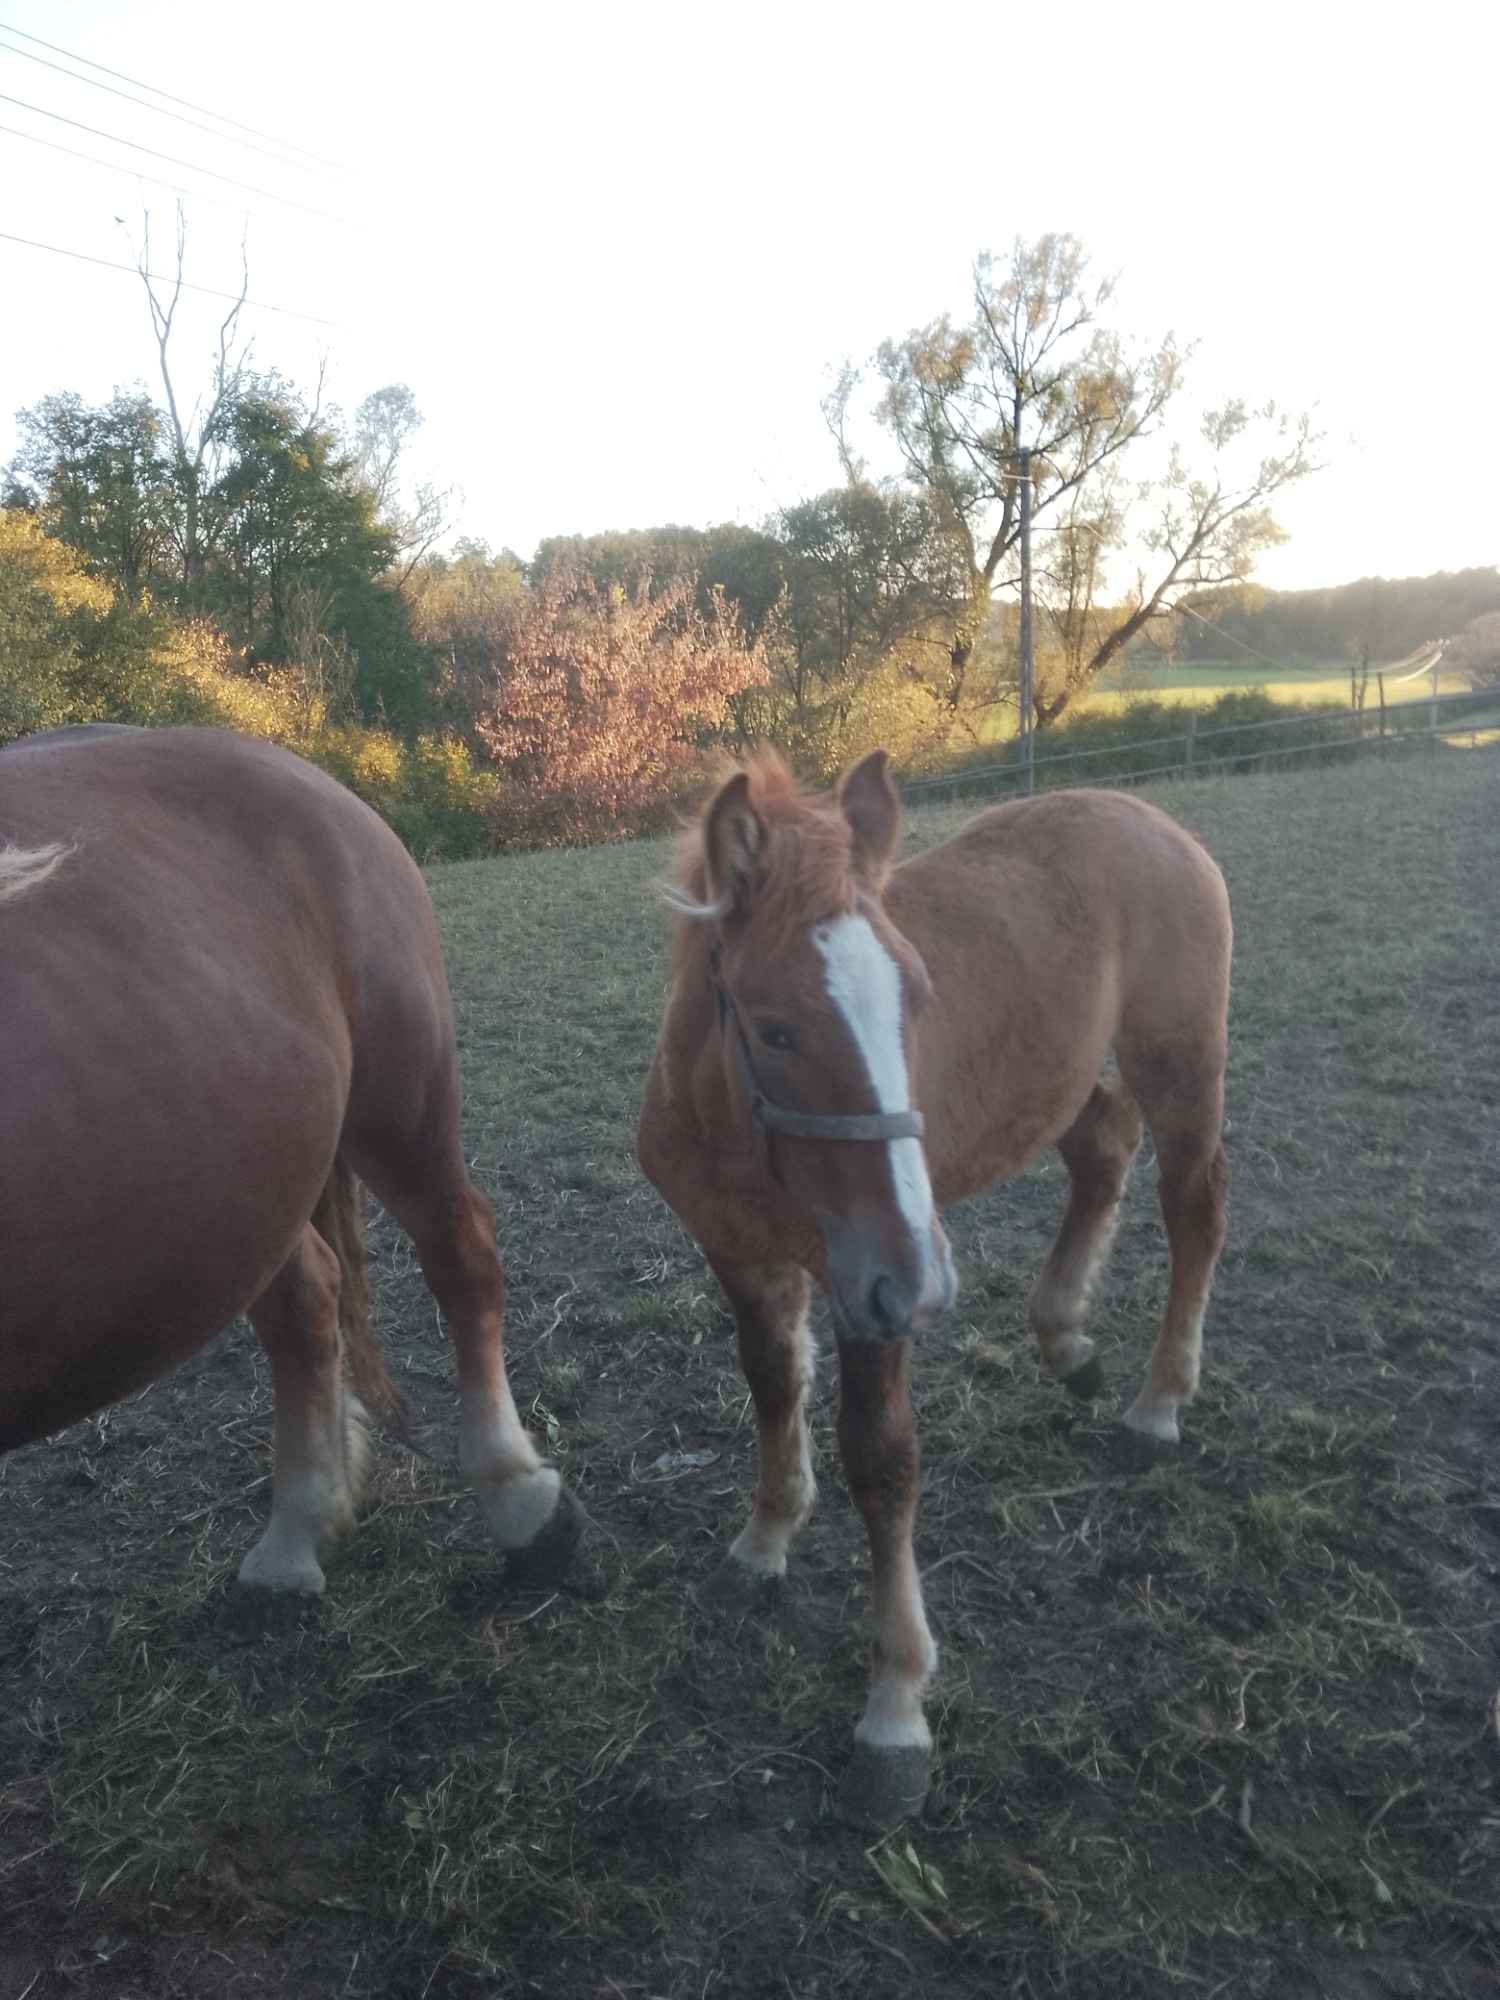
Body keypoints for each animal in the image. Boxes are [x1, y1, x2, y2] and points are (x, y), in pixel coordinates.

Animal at [1, 724, 580, 1592]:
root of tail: (306, 775)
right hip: (255, 1187)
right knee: (306, 1302)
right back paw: (296, 1535)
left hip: (399, 1106)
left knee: (460, 1254)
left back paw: (516, 1497)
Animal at [636, 752, 1232, 1832]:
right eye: (774, 1030)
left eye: (917, 998)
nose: (924, 1281)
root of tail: (1146, 813)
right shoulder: (742, 1254)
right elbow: (771, 1383)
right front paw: (766, 1537)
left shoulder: (863, 1285)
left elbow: (882, 1459)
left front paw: (896, 1709)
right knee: (1102, 1147)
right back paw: (1066, 1339)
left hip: (1181, 1062)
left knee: (1193, 1208)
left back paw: (1160, 1398)